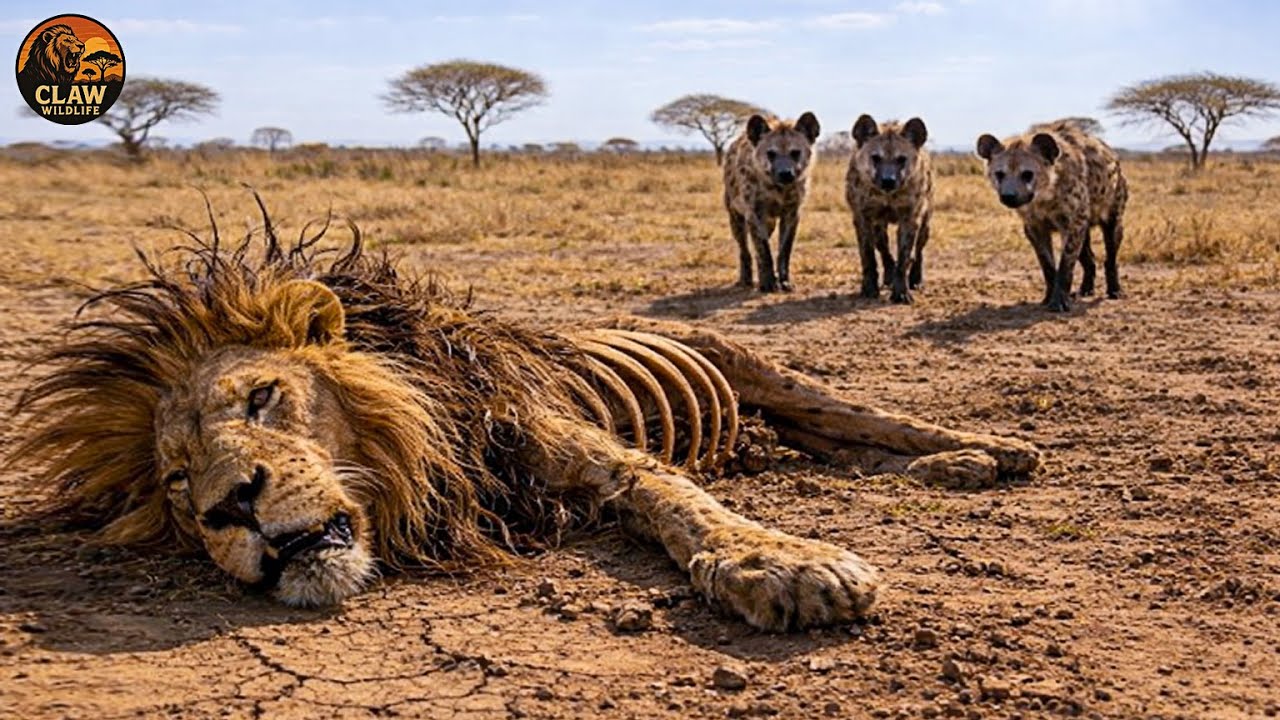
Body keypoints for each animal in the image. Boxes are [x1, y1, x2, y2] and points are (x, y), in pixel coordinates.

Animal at [11, 201, 1041, 632]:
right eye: (180, 487)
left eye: (262, 398)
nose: (235, 506)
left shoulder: (555, 433)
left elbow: (667, 492)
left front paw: (780, 565)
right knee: (833, 445)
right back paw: (953, 469)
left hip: (761, 367)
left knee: (866, 418)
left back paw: (987, 451)